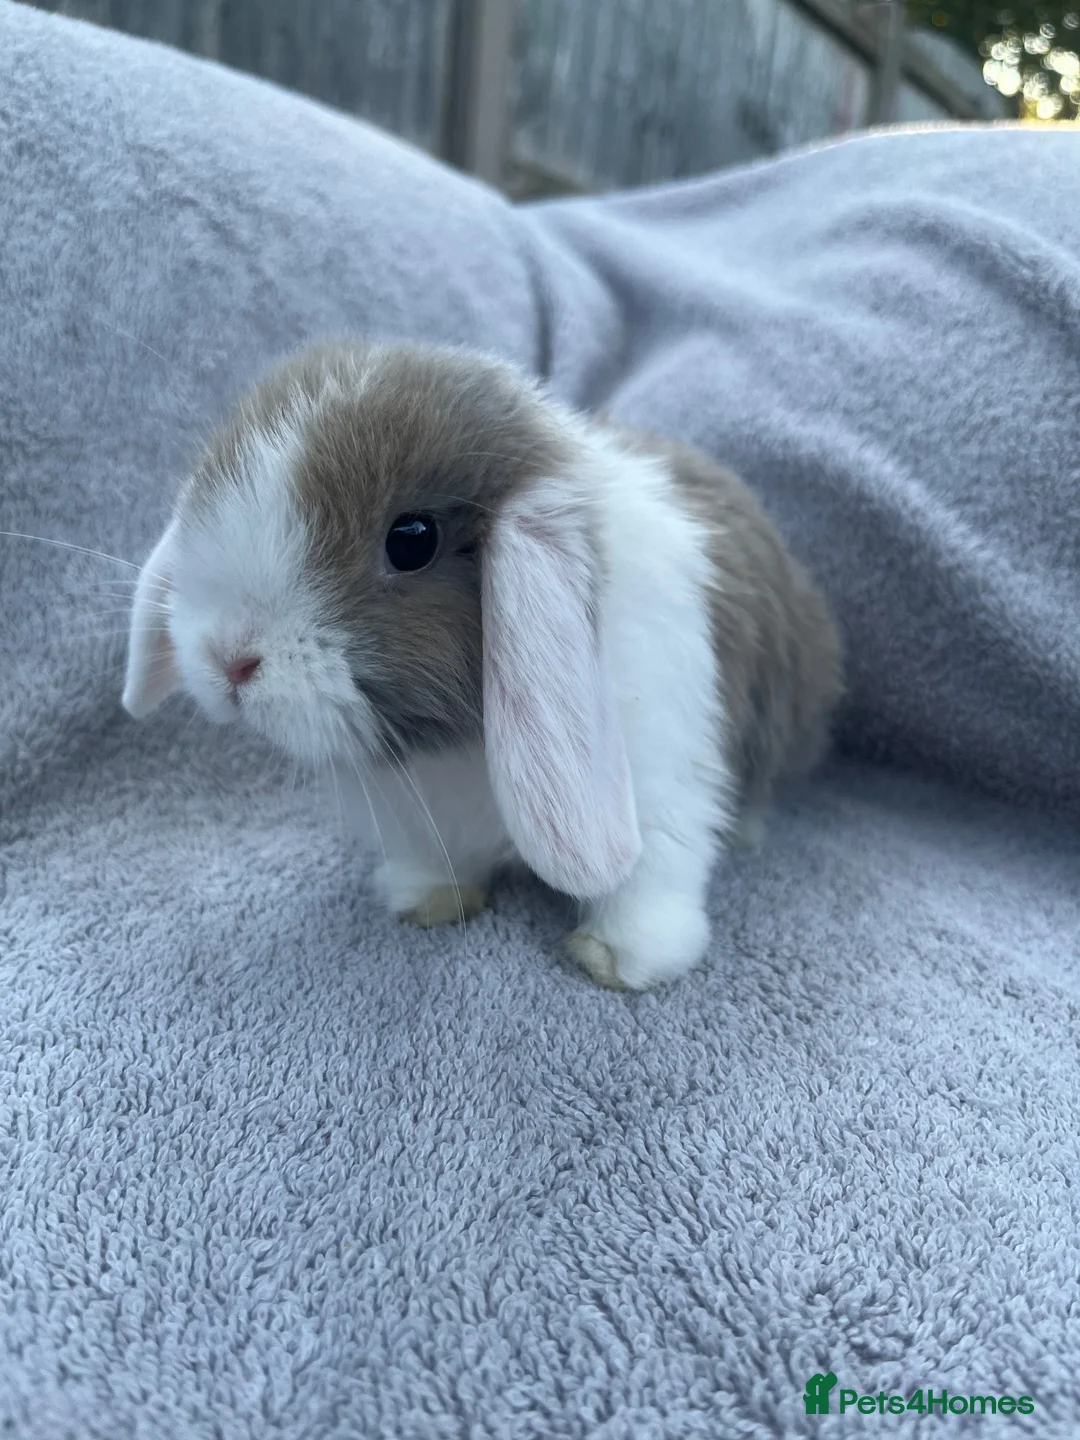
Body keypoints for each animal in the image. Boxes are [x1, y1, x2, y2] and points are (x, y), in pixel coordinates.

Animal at [122, 339, 842, 990]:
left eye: (412, 541)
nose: (228, 659)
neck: (460, 747)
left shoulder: (665, 784)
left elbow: (650, 876)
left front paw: (617, 961)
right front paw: (425, 902)